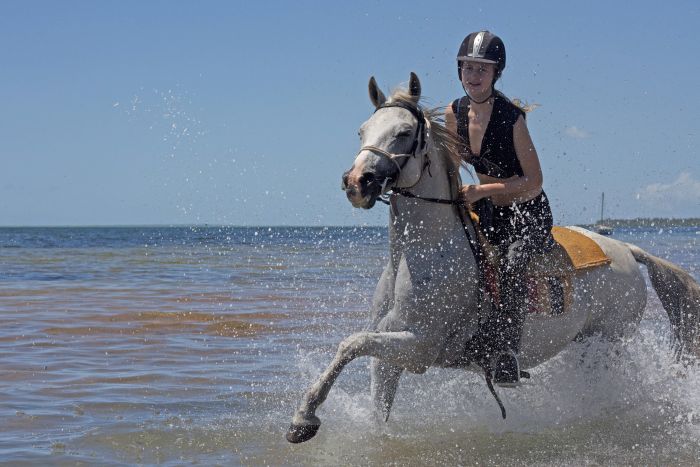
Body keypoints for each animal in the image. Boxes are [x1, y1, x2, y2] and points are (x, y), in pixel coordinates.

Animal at [284, 72, 700, 442]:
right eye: (362, 131)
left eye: (403, 133)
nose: (357, 182)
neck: (423, 254)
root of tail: (628, 251)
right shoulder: (388, 355)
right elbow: (370, 392)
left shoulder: (419, 346)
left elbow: (349, 344)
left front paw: (303, 419)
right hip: (586, 344)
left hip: (607, 343)